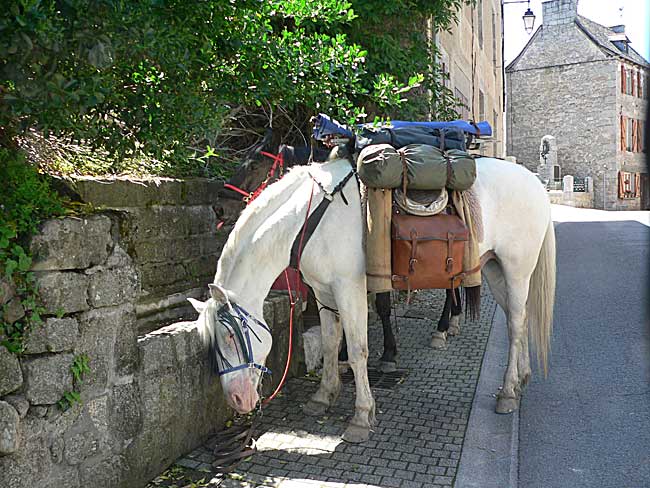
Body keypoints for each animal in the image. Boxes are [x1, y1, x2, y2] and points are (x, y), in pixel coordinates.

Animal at [190, 155, 556, 442]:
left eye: (229, 335)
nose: (237, 399)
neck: (311, 220)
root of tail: (534, 183)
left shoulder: (349, 289)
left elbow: (357, 351)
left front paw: (361, 417)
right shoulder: (323, 292)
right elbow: (329, 344)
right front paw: (323, 396)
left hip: (516, 270)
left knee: (515, 324)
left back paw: (507, 393)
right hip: (494, 268)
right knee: (519, 319)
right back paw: (521, 378)